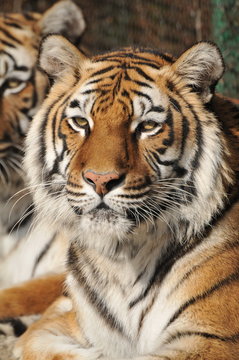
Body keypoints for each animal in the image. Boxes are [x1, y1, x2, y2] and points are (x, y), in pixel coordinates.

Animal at [0, 37, 239, 360]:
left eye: (147, 126)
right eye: (80, 122)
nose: (100, 180)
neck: (122, 260)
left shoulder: (213, 339)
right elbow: (37, 339)